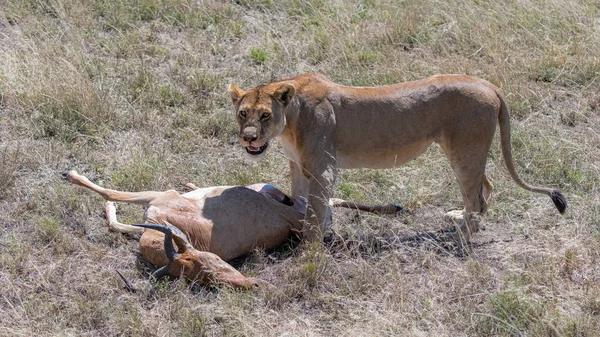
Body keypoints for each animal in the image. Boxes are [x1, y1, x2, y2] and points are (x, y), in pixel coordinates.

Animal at [63, 171, 400, 286]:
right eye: (199, 278)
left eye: (212, 262)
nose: (251, 284)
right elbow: (115, 220)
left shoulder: (158, 199)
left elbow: (109, 194)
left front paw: (70, 173)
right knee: (333, 199)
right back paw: (393, 207)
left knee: (330, 197)